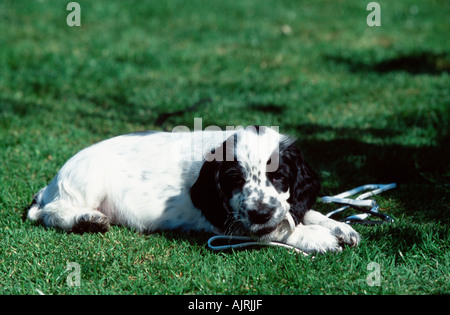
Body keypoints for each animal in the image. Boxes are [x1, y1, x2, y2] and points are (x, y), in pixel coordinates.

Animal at [27, 127, 358, 253]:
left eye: (279, 177)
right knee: (52, 213)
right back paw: (87, 220)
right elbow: (279, 230)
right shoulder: (230, 221)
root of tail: (48, 187)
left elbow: (299, 213)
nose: (261, 213)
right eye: (236, 180)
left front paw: (339, 226)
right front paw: (319, 238)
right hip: (88, 178)